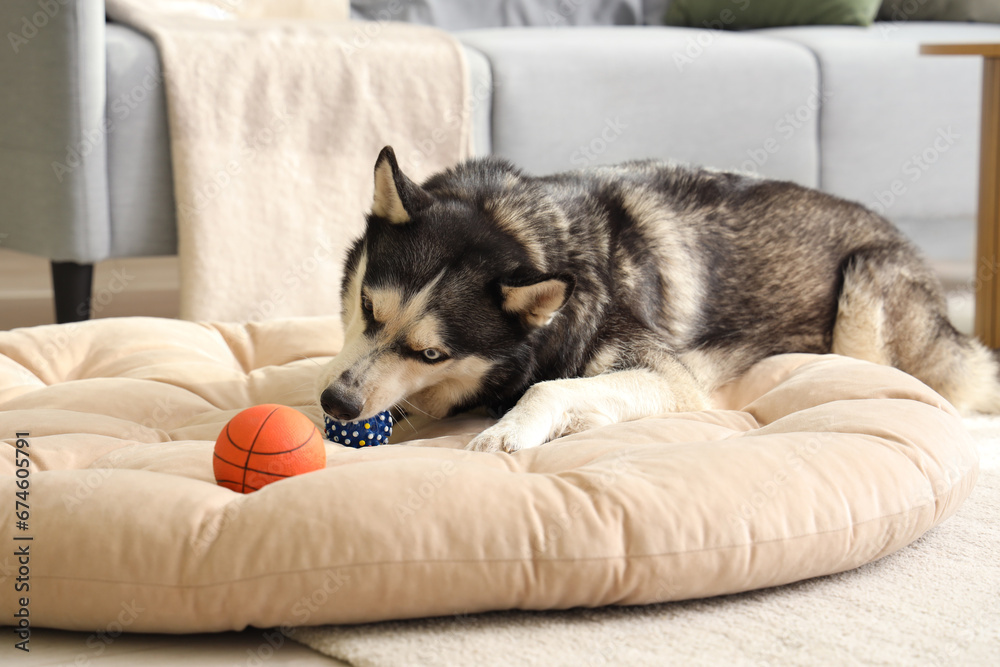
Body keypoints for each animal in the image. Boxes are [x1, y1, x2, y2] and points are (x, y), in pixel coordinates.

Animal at [316, 146, 996, 454]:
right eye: (368, 309)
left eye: (430, 353)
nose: (336, 403)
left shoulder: (671, 377)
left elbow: (551, 387)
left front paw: (511, 431)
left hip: (865, 281)